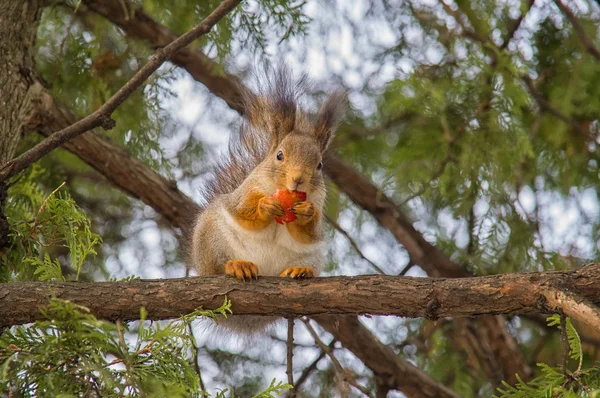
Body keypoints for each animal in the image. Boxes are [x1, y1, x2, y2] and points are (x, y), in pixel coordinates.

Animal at [190, 67, 344, 332]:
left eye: (320, 165)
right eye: (279, 155)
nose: (298, 179)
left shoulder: (319, 204)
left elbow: (310, 233)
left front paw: (306, 212)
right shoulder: (245, 192)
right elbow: (242, 209)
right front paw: (265, 206)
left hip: (312, 255)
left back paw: (300, 270)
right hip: (211, 240)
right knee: (217, 266)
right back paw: (237, 266)